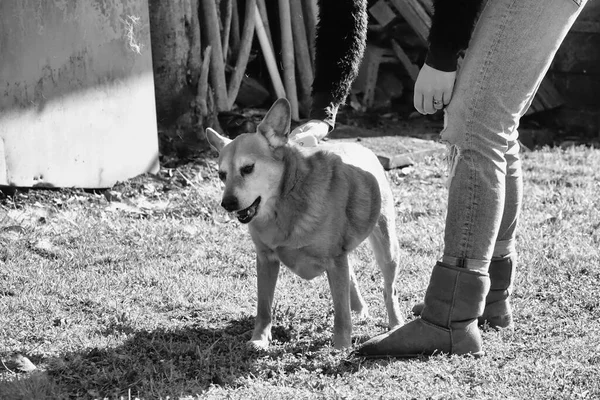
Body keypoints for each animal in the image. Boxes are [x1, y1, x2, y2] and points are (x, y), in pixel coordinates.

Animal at [207, 98, 404, 348]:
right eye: (221, 175)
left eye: (248, 168)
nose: (227, 203)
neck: (285, 204)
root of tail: (363, 148)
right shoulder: (266, 260)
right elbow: (264, 307)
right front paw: (260, 339)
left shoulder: (335, 261)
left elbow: (341, 313)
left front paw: (341, 346)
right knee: (352, 278)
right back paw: (359, 309)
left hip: (387, 249)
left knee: (389, 290)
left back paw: (395, 324)